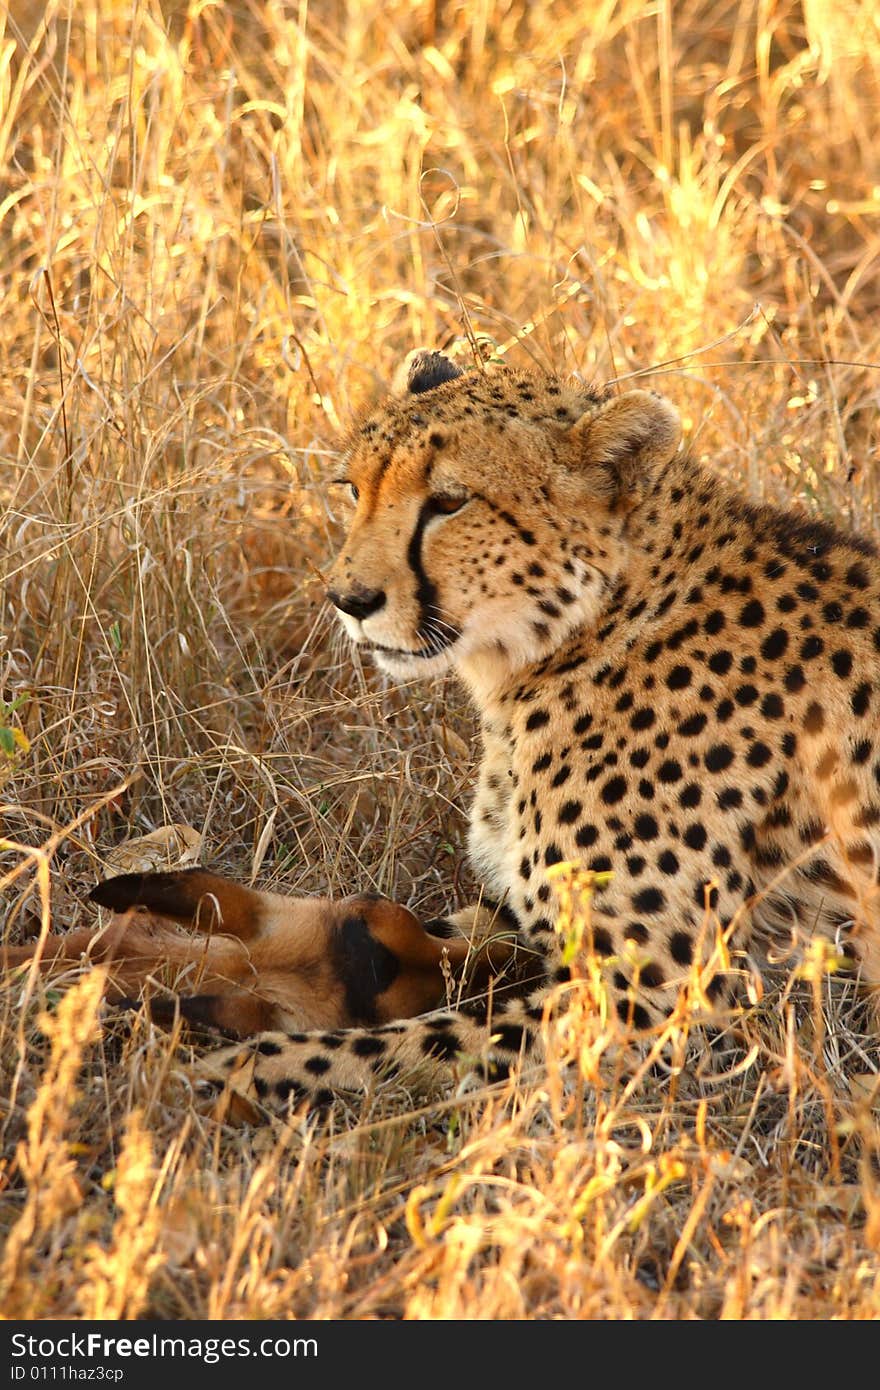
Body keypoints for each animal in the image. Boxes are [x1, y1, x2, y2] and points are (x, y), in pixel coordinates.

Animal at [11, 353, 878, 1112]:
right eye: (352, 489)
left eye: (450, 503)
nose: (349, 600)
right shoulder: (521, 927)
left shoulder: (649, 995)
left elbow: (398, 1040)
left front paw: (215, 1071)